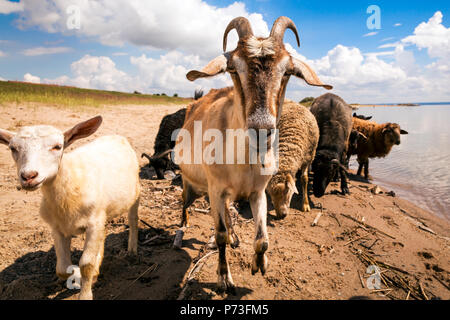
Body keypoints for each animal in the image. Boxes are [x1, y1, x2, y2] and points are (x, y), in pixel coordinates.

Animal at [0, 116, 141, 298]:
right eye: (13, 148)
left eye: (57, 146)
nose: (28, 176)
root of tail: (116, 136)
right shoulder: (58, 227)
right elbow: (62, 268)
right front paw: (76, 277)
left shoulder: (93, 222)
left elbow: (86, 264)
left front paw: (86, 294)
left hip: (135, 191)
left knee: (133, 219)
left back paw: (131, 250)